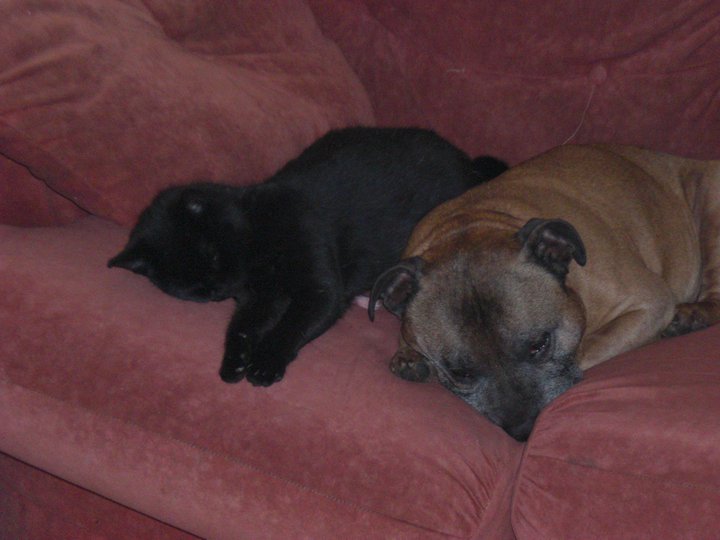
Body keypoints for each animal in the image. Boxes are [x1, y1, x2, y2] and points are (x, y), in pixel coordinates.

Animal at [109, 127, 510, 384]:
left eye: (211, 257)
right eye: (191, 289)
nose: (215, 290)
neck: (259, 236)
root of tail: (468, 162)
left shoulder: (319, 288)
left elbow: (293, 325)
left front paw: (265, 362)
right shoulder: (260, 297)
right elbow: (241, 326)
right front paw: (235, 360)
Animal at [372, 143, 720, 438]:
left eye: (539, 345)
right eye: (461, 373)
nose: (524, 430)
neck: (474, 223)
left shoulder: (649, 304)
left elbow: (586, 347)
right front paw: (407, 354)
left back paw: (693, 314)